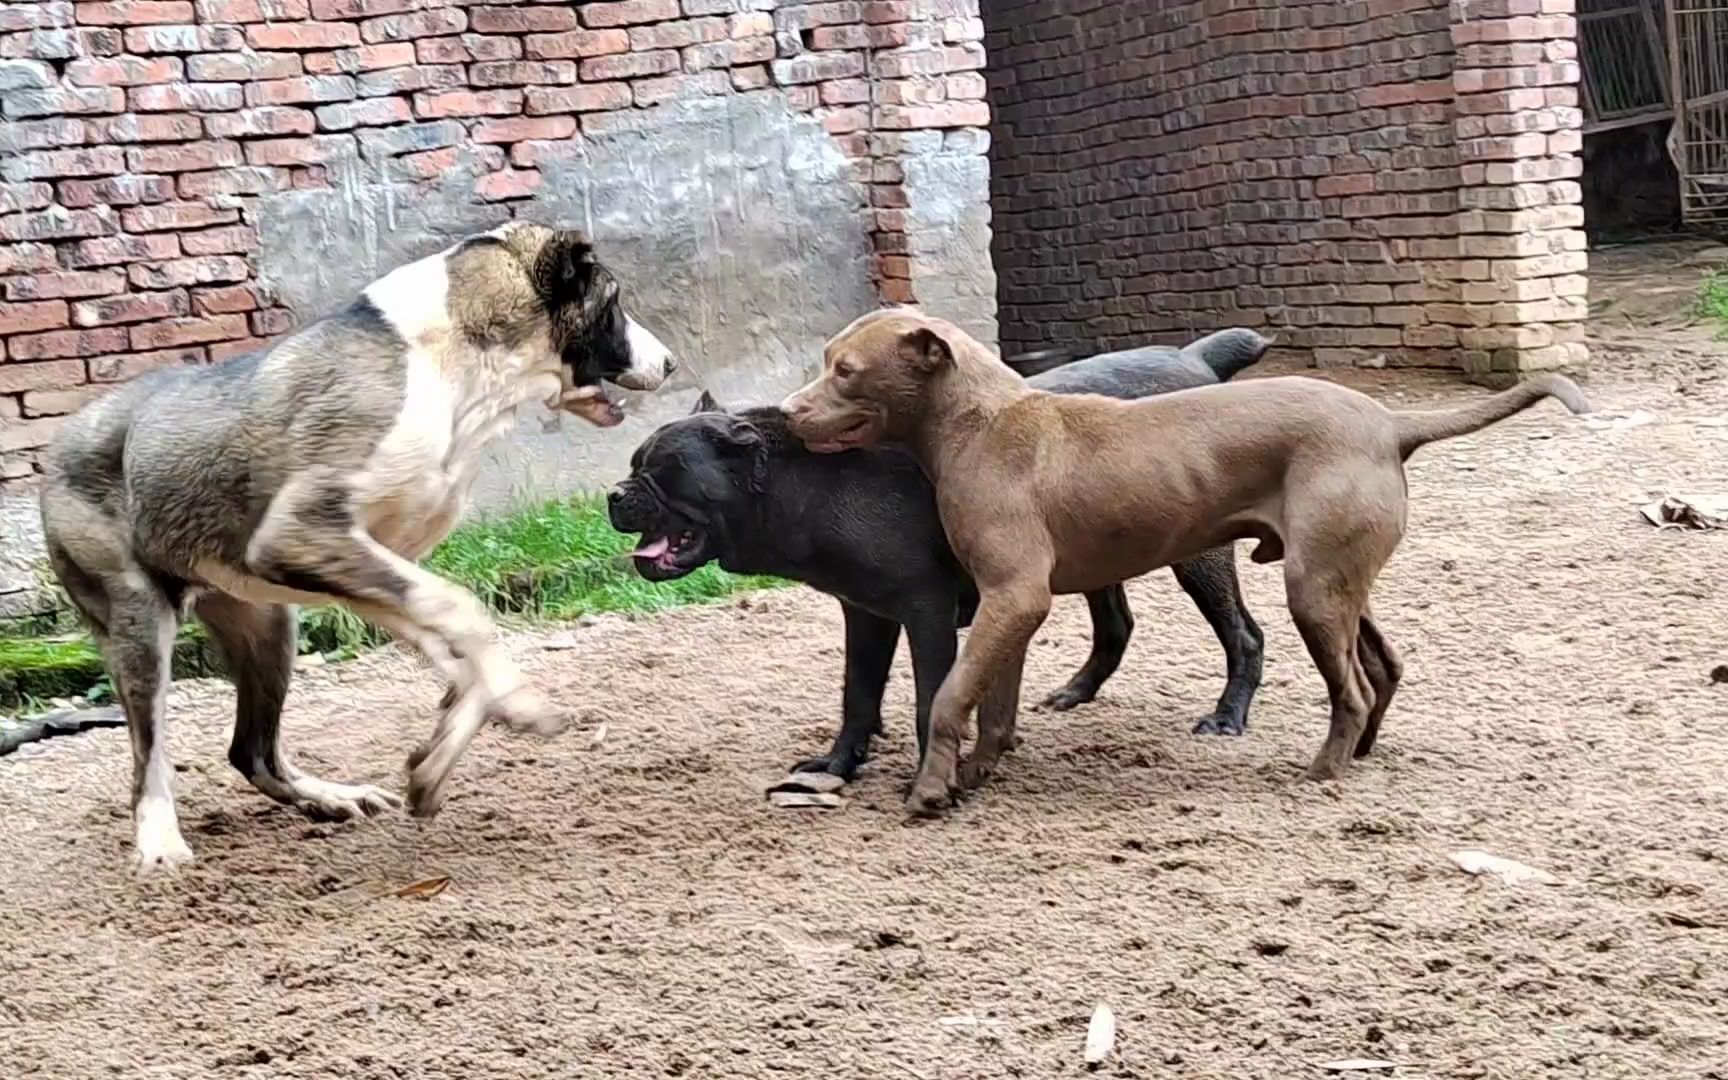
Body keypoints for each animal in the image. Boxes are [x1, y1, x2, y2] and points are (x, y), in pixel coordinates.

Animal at [40, 222, 673, 870]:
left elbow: (458, 651)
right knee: (150, 758)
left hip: (268, 623)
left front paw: (436, 758)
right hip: (142, 622)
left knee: (252, 752)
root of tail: (57, 443)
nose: (671, 363)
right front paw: (521, 704)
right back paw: (161, 842)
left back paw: (331, 797)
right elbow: (465, 611)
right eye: (614, 300)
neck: (454, 363)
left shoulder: (375, 567)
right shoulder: (301, 536)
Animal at [608, 326, 1271, 774]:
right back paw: (1076, 692)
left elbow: (931, 699)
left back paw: (1227, 717)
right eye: (635, 465)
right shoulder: (867, 617)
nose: (615, 494)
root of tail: (1193, 357)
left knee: (1244, 634)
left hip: (1198, 560)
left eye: (665, 472)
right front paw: (839, 766)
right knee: (1116, 625)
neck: (805, 483)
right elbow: (857, 695)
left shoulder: (926, 613)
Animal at [784, 307, 1589, 812]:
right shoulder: (1004, 605)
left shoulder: (1014, 597)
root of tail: (1391, 422)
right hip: (1337, 578)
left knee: (1346, 685)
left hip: (1305, 586)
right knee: (1381, 666)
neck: (979, 424)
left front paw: (928, 790)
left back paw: (1321, 770)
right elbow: (996, 704)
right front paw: (976, 774)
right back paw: (1361, 753)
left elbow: (952, 695)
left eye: (845, 370)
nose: (788, 411)